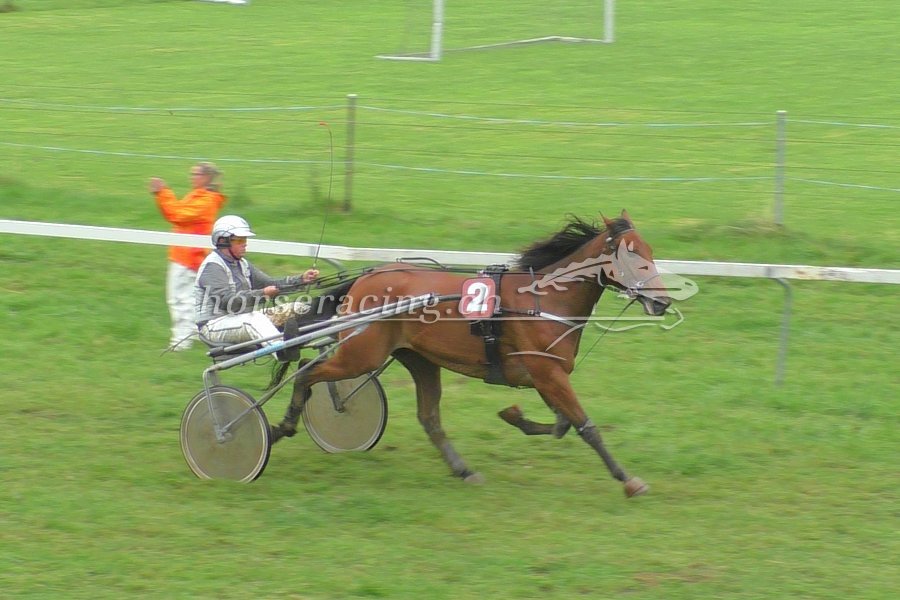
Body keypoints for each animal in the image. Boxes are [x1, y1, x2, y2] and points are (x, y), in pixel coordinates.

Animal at [270, 210, 672, 497]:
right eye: (633, 257)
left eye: (651, 253)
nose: (663, 303)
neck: (544, 301)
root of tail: (368, 276)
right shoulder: (548, 374)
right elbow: (585, 426)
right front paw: (628, 479)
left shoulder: (546, 376)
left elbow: (561, 424)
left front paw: (514, 415)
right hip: (361, 354)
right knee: (307, 370)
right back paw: (281, 427)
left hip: (420, 360)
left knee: (429, 418)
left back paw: (463, 469)